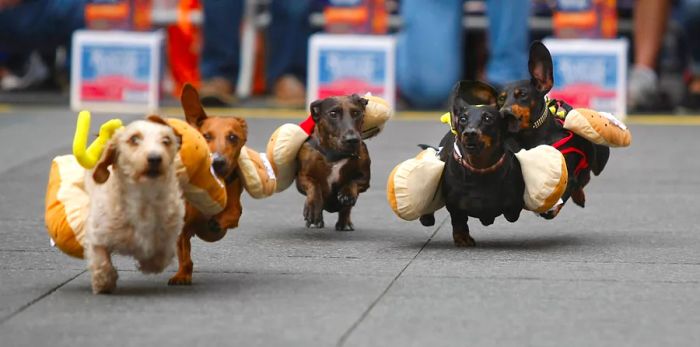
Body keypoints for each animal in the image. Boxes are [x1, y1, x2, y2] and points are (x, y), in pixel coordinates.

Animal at [84, 115, 186, 294]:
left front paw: (148, 263)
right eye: (134, 139)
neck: (144, 200)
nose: (154, 158)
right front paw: (104, 282)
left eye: (166, 140)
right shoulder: (98, 234)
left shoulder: (168, 236)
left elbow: (159, 256)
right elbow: (101, 261)